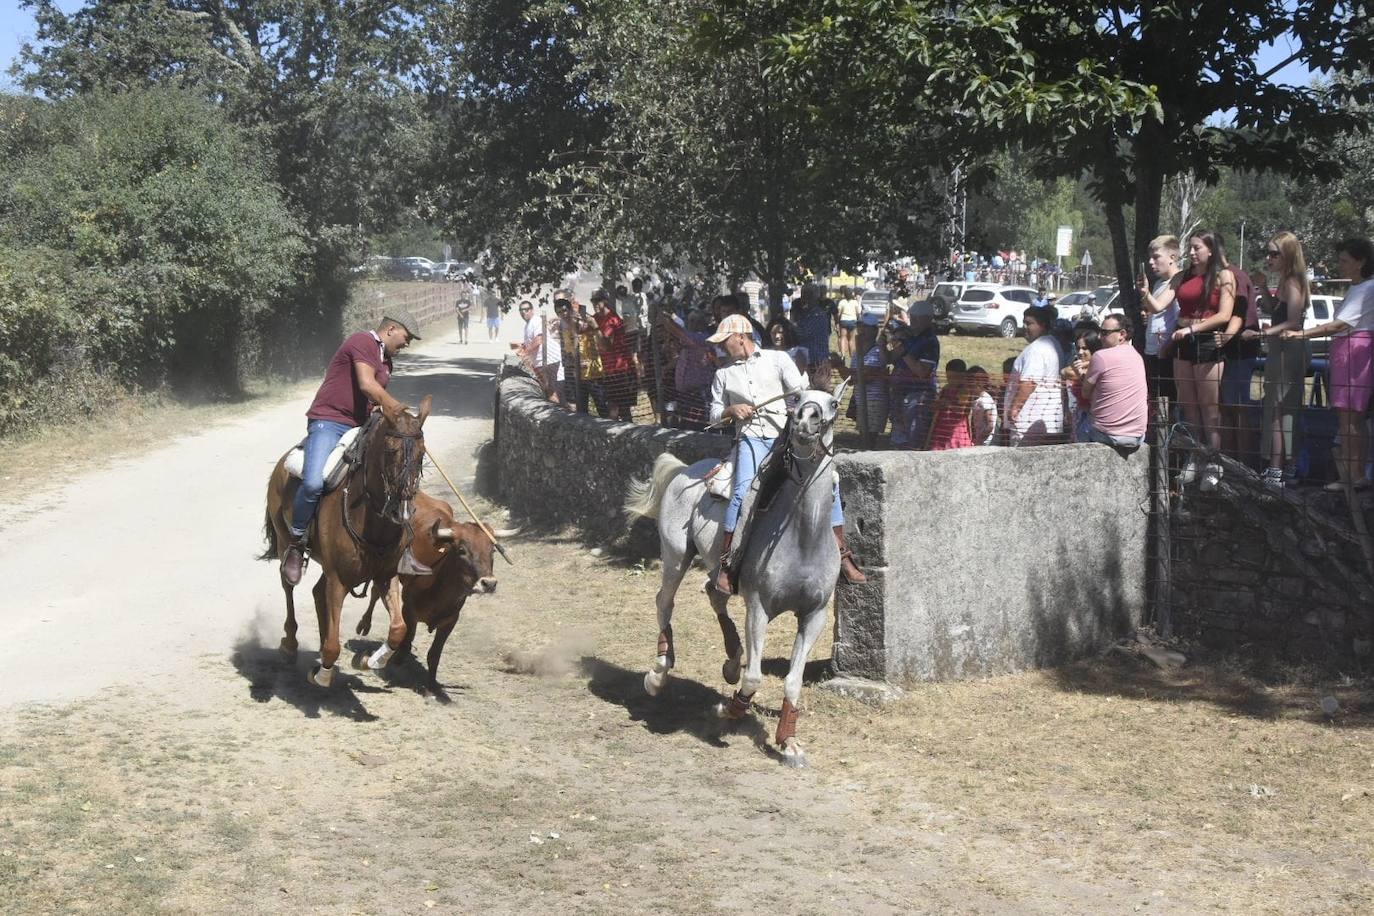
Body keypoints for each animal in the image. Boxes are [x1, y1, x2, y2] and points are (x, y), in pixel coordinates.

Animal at [258, 398, 428, 683]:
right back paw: (290, 644)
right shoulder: (338, 579)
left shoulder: (385, 575)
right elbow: (333, 646)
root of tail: (282, 463)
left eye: (422, 454)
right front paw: (323, 674)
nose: (401, 511)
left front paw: (369, 660)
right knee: (288, 585)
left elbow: (398, 629)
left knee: (317, 593)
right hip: (284, 541)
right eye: (390, 451)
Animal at [354, 494, 500, 694]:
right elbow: (406, 642)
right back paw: (364, 624)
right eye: (461, 550)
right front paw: (396, 662)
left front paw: (432, 685)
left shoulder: (451, 619)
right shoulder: (409, 609)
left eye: (492, 550)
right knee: (375, 592)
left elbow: (435, 654)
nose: (489, 583)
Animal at [626, 384, 846, 769]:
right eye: (797, 399)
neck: (803, 537)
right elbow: (755, 676)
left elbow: (793, 681)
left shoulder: (814, 616)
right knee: (664, 602)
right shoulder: (758, 608)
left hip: (716, 568)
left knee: (715, 593)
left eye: (833, 403)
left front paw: (789, 742)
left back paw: (731, 660)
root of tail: (686, 469)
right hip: (675, 556)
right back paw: (658, 673)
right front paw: (728, 709)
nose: (806, 420)